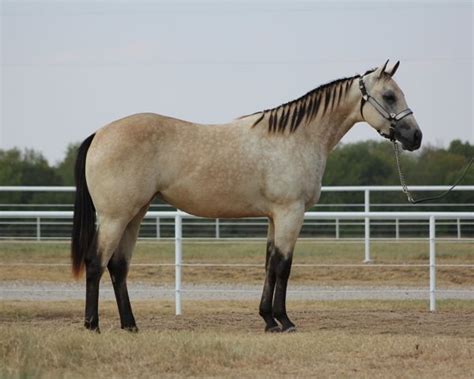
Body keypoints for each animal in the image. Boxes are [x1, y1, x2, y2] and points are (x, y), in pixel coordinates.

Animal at [71, 59, 422, 332]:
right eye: (389, 95)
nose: (415, 137)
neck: (295, 138)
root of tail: (99, 134)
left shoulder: (274, 217)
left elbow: (269, 264)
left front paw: (268, 319)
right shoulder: (290, 213)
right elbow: (283, 266)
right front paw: (284, 321)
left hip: (135, 214)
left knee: (118, 267)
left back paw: (130, 325)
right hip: (115, 217)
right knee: (95, 263)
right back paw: (93, 325)